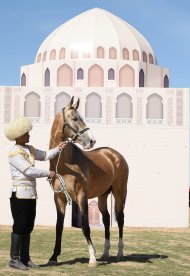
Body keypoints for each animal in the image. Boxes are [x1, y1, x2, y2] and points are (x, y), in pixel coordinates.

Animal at [47, 97, 129, 268]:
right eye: (75, 118)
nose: (91, 141)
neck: (66, 164)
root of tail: (115, 155)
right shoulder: (59, 199)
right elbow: (59, 227)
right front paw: (53, 257)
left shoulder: (81, 196)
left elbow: (85, 226)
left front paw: (92, 257)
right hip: (103, 196)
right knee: (106, 219)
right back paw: (105, 253)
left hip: (119, 193)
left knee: (120, 219)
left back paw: (119, 253)